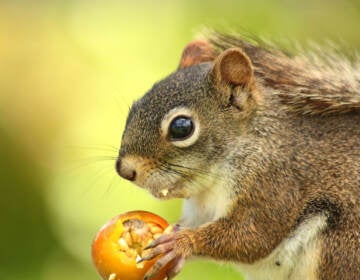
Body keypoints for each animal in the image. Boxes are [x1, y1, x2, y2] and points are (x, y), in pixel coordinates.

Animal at [115, 31, 360, 278]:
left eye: (181, 127)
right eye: (134, 109)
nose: (125, 170)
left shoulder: (273, 183)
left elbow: (251, 236)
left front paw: (180, 243)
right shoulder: (199, 212)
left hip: (339, 248)